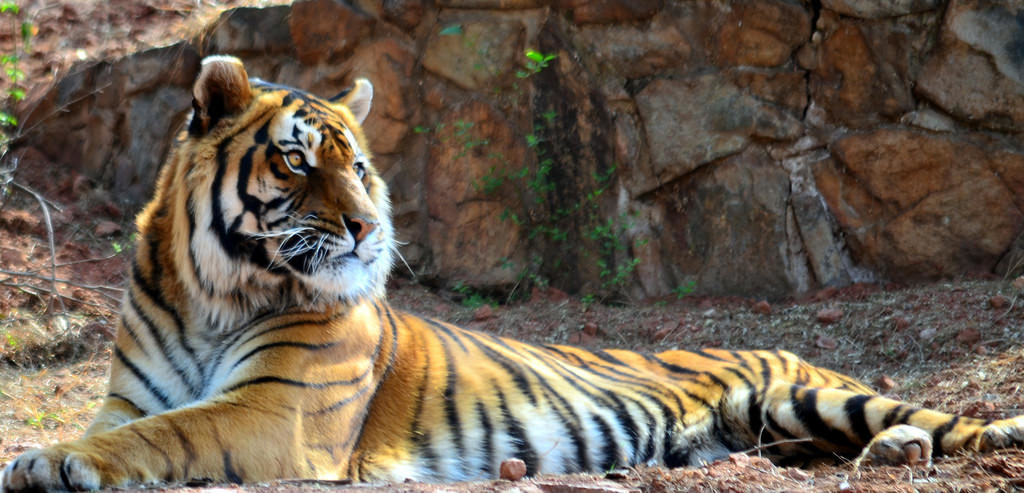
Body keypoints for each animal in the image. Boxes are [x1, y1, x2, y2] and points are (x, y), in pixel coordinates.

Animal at [3, 54, 1024, 492]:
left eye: (359, 165)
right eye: (297, 162)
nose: (368, 228)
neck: (212, 293)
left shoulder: (276, 410)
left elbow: (171, 434)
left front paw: (50, 461)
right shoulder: (130, 397)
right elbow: (139, 424)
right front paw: (49, 453)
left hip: (808, 393)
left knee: (947, 423)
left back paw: (926, 442)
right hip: (770, 425)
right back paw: (891, 456)